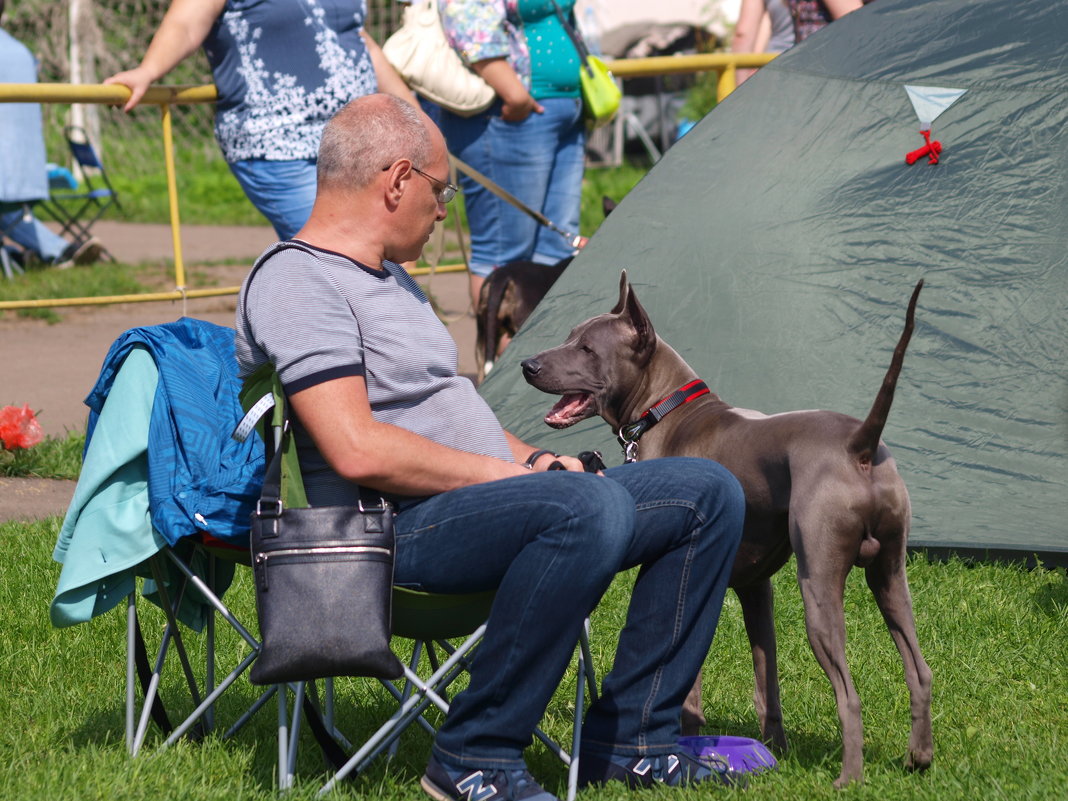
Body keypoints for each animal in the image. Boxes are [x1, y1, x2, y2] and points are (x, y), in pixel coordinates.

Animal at [521, 273, 931, 786]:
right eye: (570, 336)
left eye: (587, 348)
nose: (528, 365)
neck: (667, 409)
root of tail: (861, 444)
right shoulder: (756, 589)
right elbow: (766, 681)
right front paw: (774, 752)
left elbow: (687, 689)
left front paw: (680, 749)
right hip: (891, 577)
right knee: (920, 671)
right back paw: (918, 758)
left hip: (818, 587)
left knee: (849, 693)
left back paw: (848, 778)